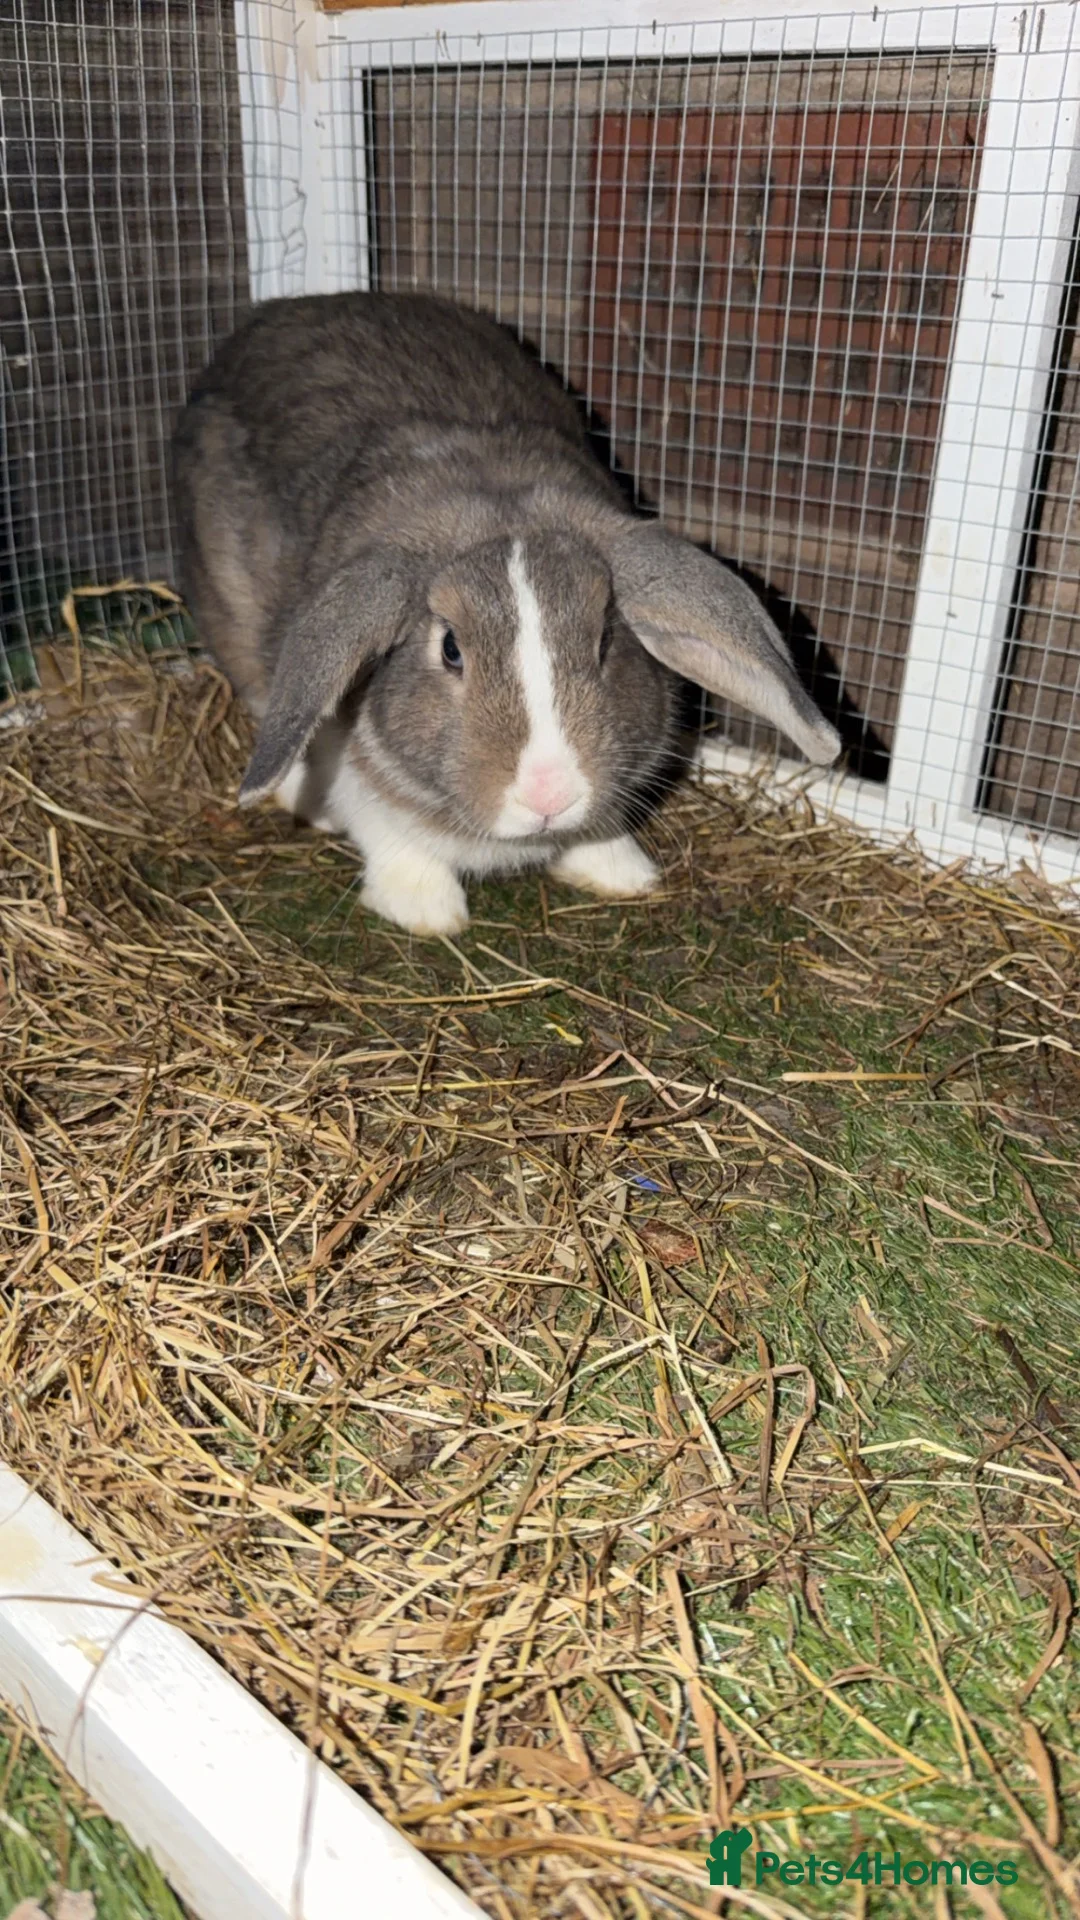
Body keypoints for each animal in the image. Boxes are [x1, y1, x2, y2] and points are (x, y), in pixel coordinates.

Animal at [172, 292, 839, 936]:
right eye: (450, 648)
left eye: (605, 639)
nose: (550, 795)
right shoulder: (353, 764)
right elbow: (387, 832)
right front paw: (427, 911)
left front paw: (622, 872)